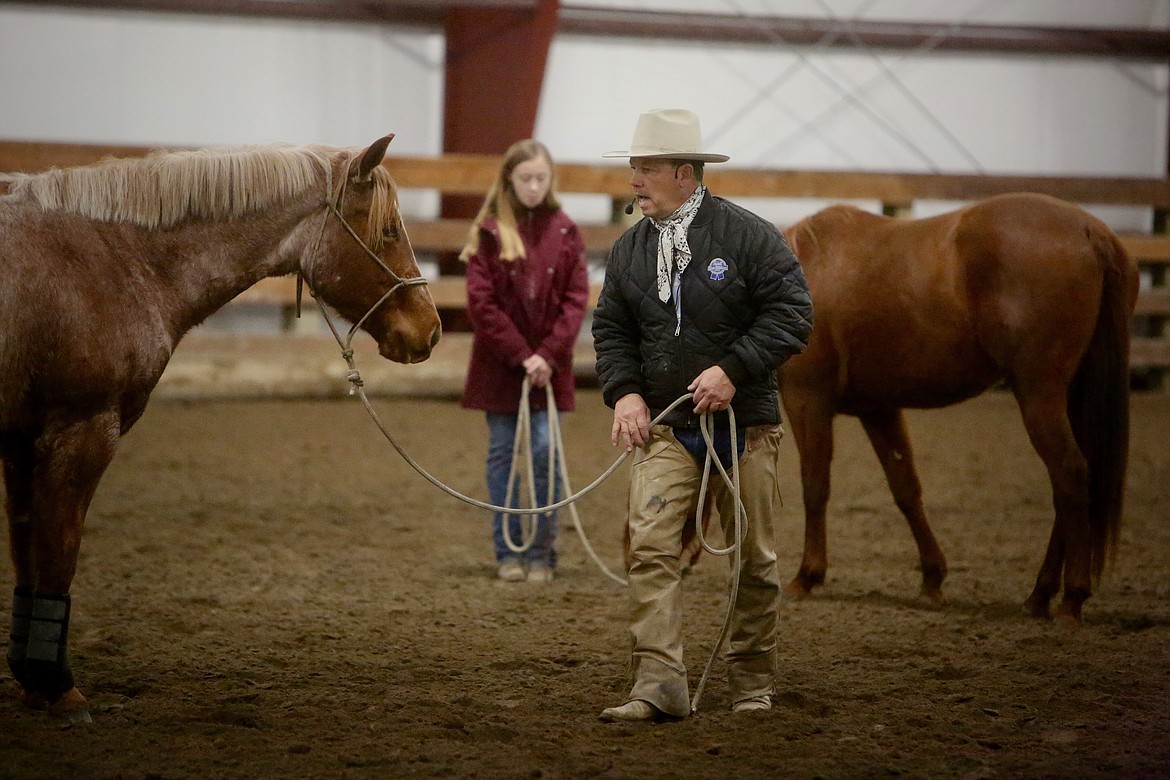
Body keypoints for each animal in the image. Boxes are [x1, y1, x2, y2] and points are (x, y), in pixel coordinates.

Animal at [0, 132, 439, 720]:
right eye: (388, 231)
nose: (431, 329)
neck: (113, 259)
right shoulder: (80, 431)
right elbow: (58, 552)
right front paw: (58, 687)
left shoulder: (24, 444)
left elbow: (29, 552)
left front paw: (33, 681)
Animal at [776, 194, 1132, 622]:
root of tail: (1089, 232)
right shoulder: (878, 408)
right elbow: (906, 490)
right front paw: (933, 578)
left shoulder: (807, 399)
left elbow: (815, 486)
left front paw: (806, 576)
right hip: (1071, 397)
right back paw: (1040, 595)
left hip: (1039, 396)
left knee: (1069, 476)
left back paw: (1071, 598)